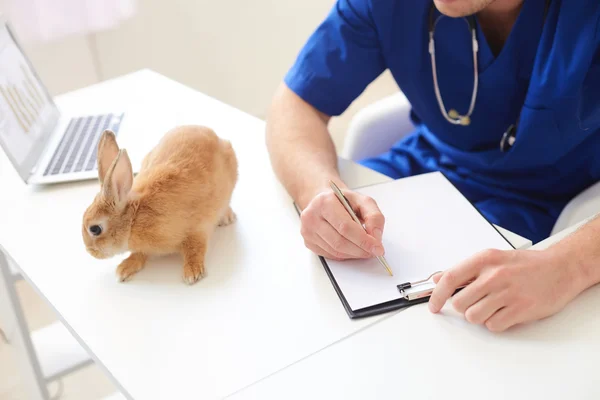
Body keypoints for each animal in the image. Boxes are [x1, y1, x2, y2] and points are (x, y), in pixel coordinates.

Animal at [80, 125, 239, 284]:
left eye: (95, 229)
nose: (90, 252)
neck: (134, 219)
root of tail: (218, 138)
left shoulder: (197, 228)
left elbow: (195, 248)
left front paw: (192, 273)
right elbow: (140, 253)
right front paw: (124, 269)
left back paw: (227, 218)